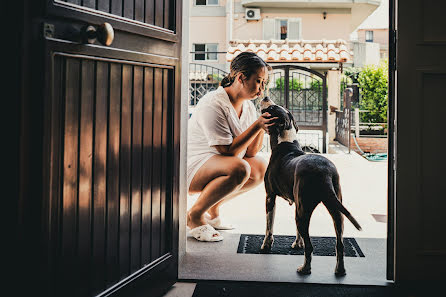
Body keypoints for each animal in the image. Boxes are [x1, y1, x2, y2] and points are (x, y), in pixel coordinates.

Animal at [258, 97, 362, 276]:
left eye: (272, 108)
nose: (265, 97)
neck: (285, 142)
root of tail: (324, 172)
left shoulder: (270, 196)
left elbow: (269, 225)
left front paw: (266, 245)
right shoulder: (296, 203)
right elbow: (297, 231)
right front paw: (297, 243)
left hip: (304, 211)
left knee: (310, 246)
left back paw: (305, 269)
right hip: (335, 210)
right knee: (339, 244)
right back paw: (339, 270)